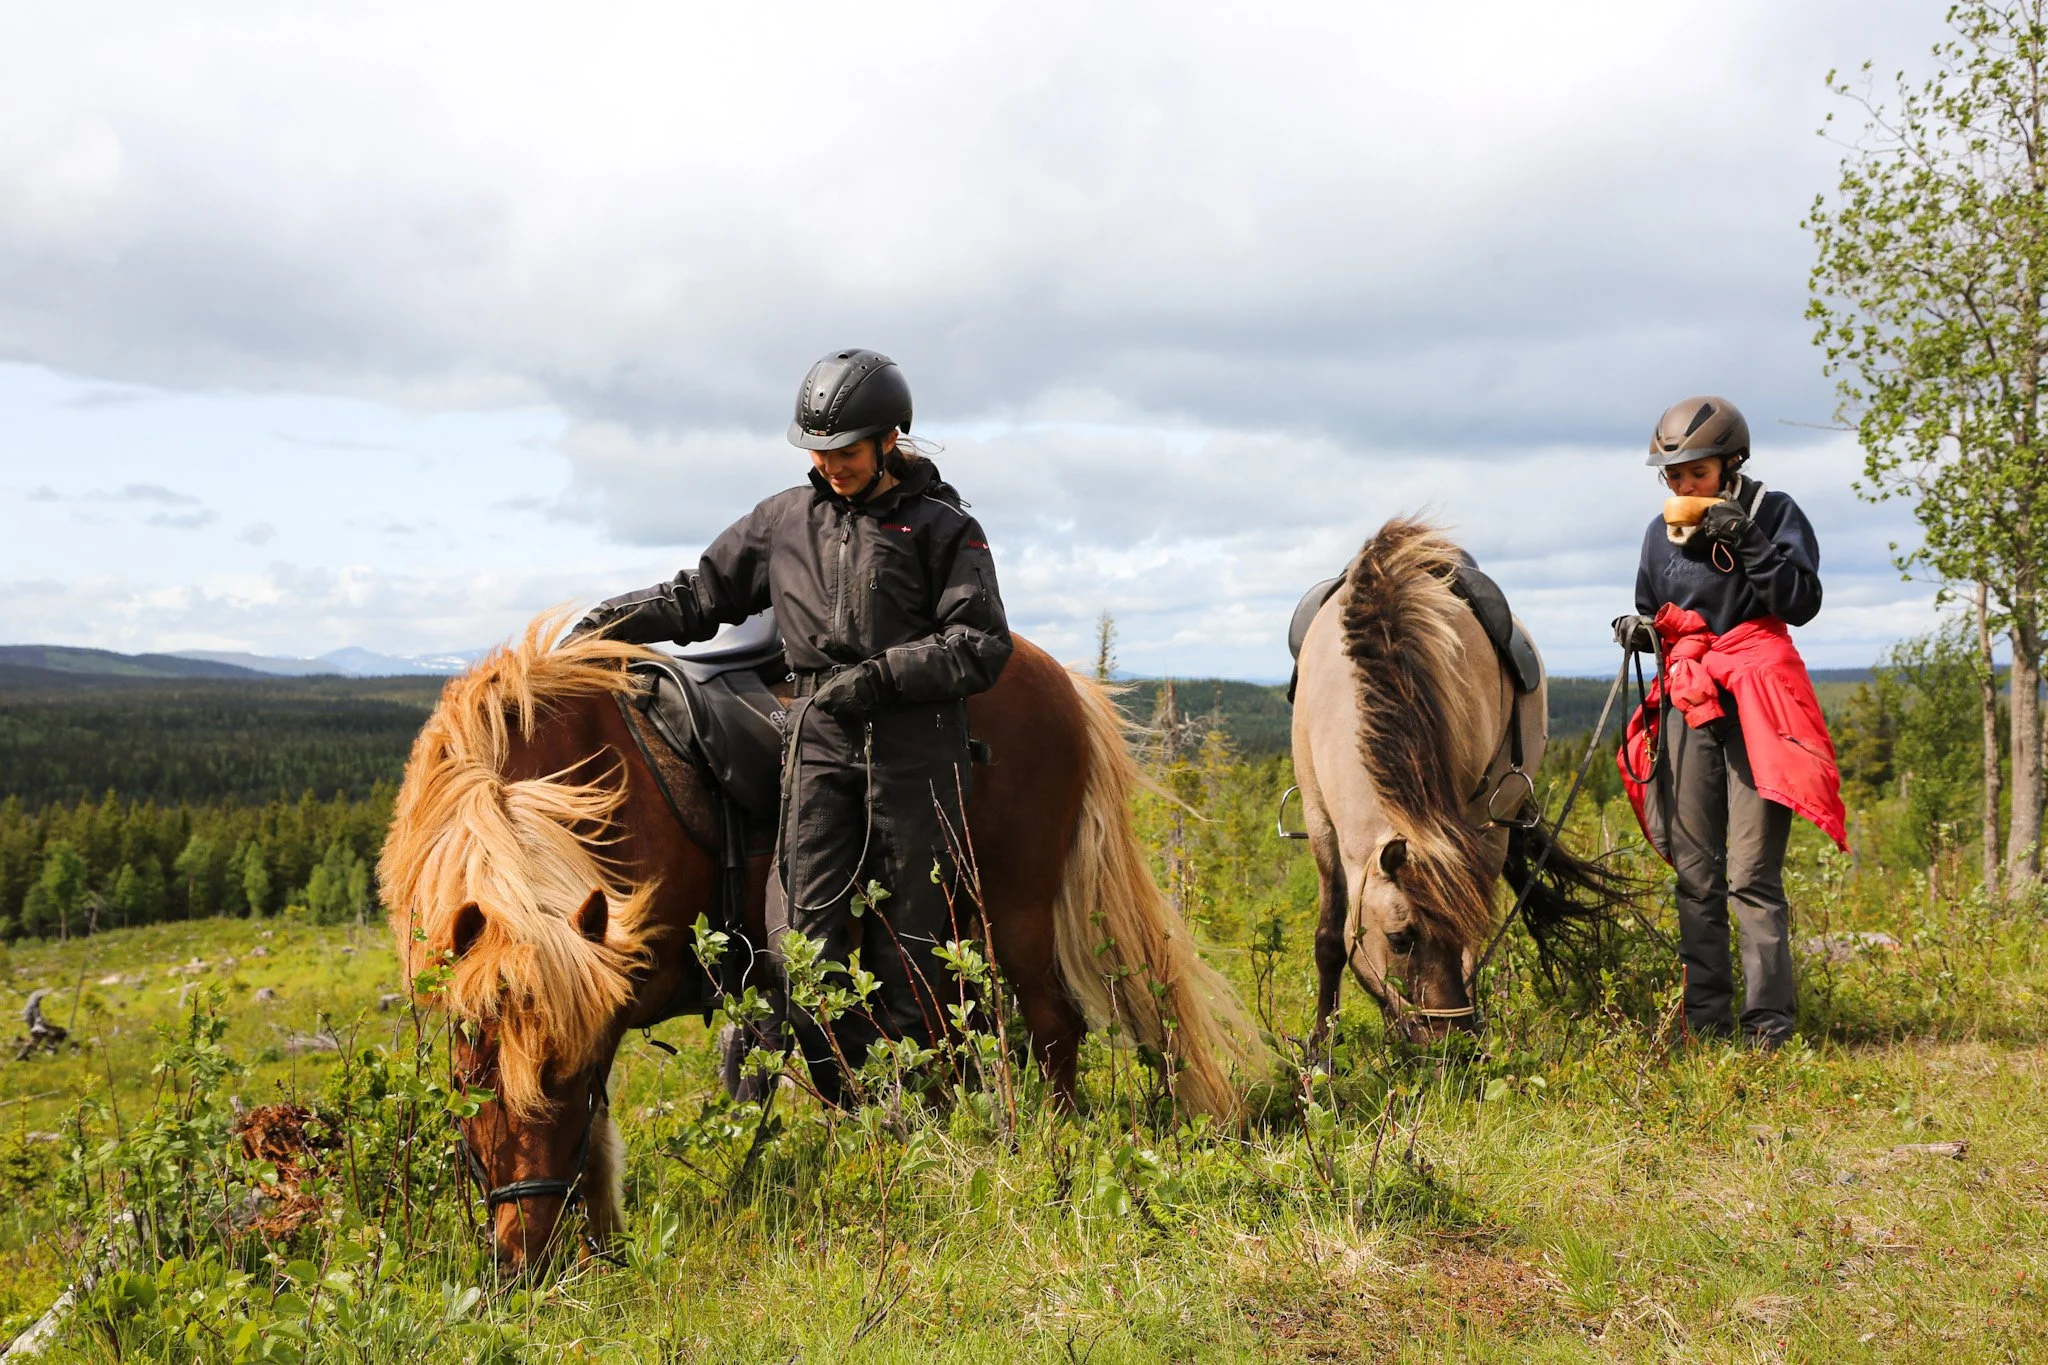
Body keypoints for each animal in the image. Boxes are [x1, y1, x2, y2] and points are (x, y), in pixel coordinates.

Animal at [379, 611, 1266, 1268]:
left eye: (560, 1076)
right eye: (465, 1073)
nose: (523, 1260)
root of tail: (1064, 680)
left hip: (1015, 906)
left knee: (1052, 1025)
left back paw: (1049, 1144)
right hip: (952, 933)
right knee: (964, 1036)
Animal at [1290, 518, 1626, 1043]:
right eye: (1400, 938)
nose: (1453, 1041)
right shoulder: (1320, 821)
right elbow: (1330, 940)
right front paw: (1322, 1044)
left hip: (1495, 826)